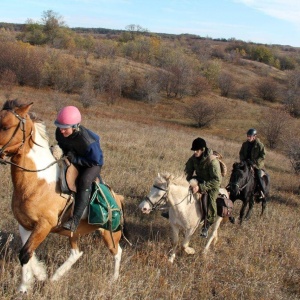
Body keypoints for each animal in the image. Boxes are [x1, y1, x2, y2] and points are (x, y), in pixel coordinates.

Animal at [0, 99, 124, 292]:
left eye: (5, 127)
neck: (37, 181)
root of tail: (117, 197)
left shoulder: (44, 225)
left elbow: (25, 254)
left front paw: (33, 280)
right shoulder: (25, 225)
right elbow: (27, 254)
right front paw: (28, 283)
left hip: (109, 234)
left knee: (117, 252)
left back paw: (113, 279)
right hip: (74, 233)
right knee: (76, 253)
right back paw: (56, 277)